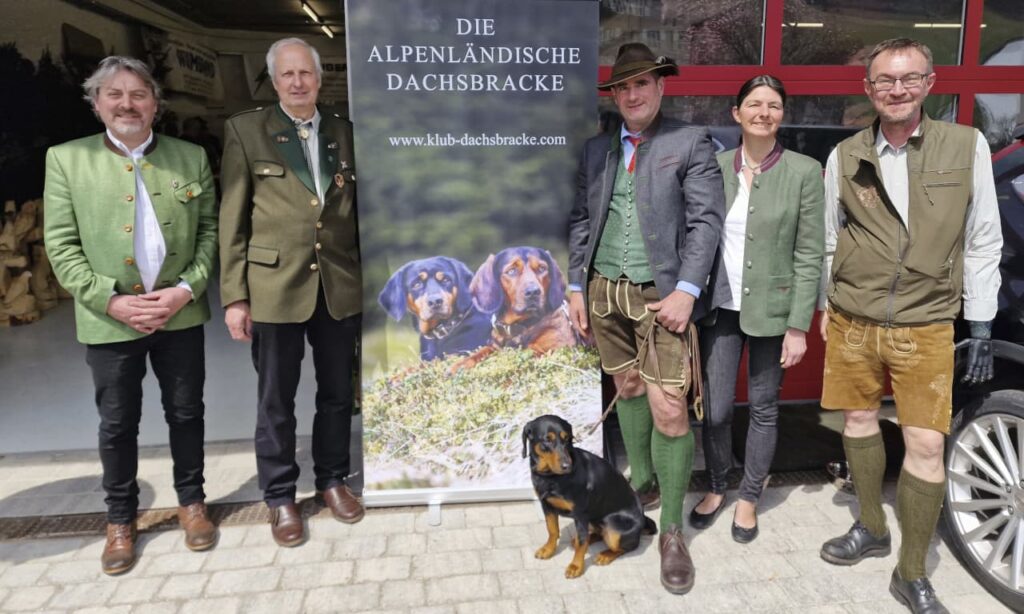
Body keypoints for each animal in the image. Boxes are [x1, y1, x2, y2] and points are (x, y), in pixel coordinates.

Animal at [520, 415, 655, 577]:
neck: (551, 477)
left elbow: (582, 542)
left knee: (624, 546)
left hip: (614, 526)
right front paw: (548, 550)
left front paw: (576, 566)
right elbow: (552, 530)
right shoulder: (546, 505)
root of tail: (643, 521)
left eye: (567, 438)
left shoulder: (580, 514)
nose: (567, 466)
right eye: (547, 440)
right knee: (598, 533)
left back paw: (605, 555)